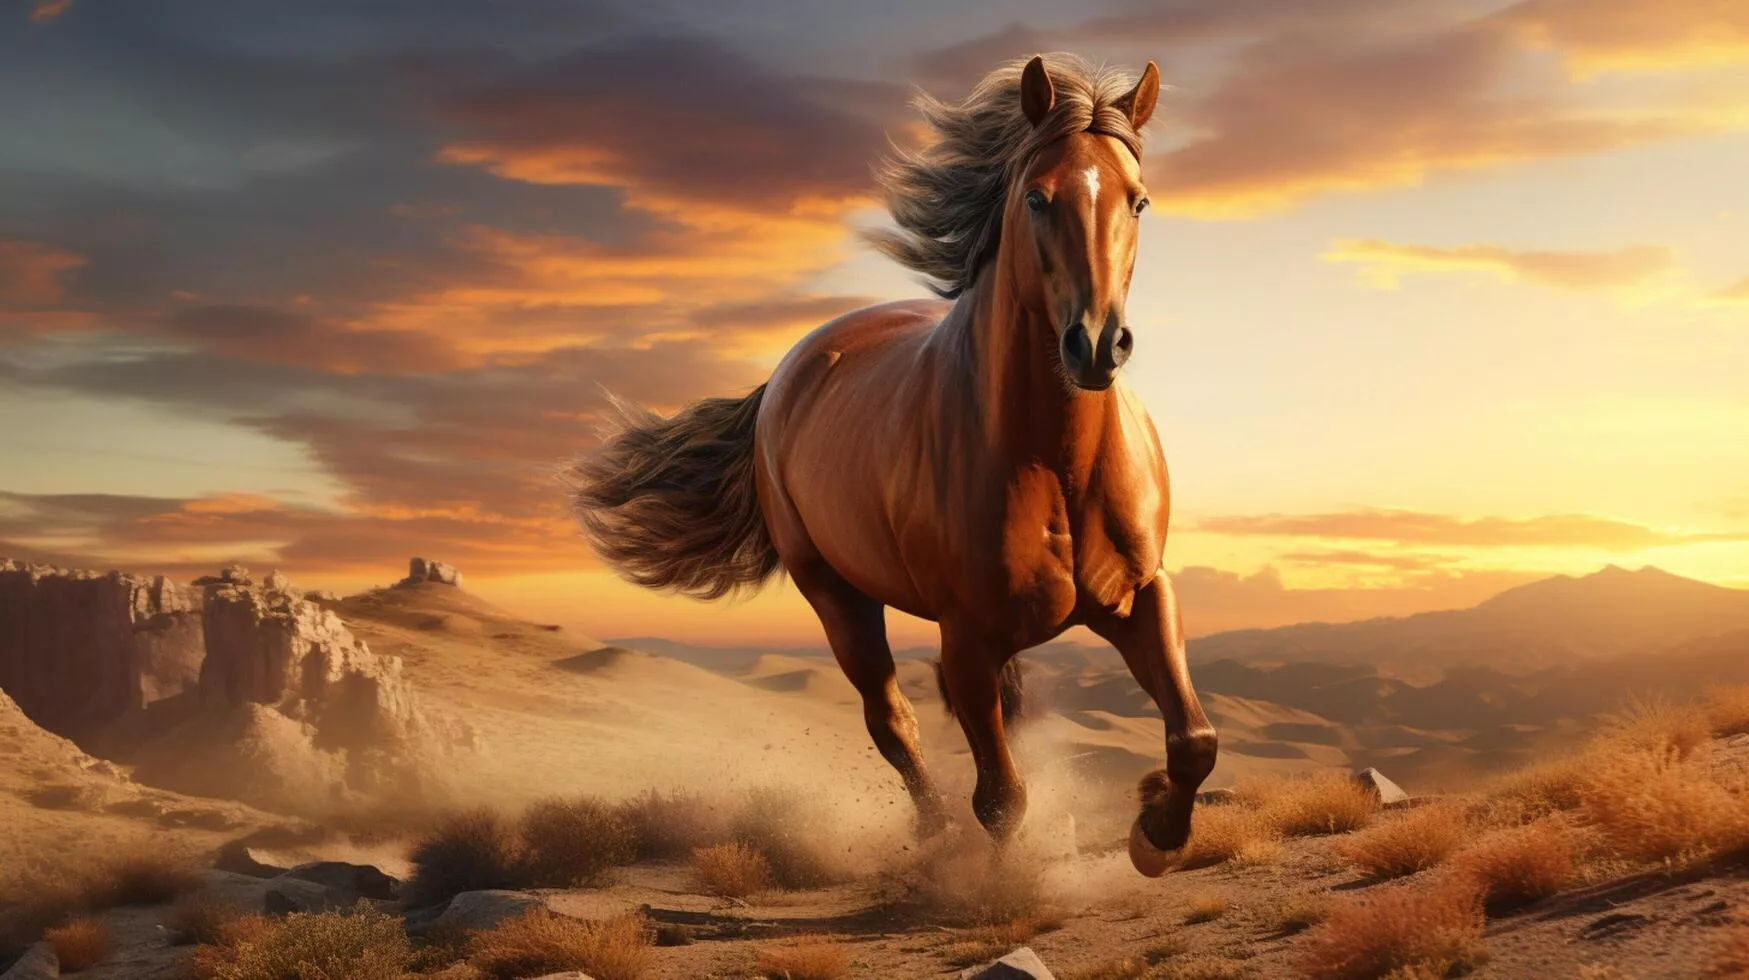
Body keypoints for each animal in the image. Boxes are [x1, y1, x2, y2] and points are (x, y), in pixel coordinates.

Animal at [569, 53, 1217, 877]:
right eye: (1037, 198)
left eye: (1138, 202)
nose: (1097, 345)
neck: (1053, 463)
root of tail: (789, 373)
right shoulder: (965, 637)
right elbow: (1000, 801)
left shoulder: (1141, 596)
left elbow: (1194, 740)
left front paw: (1154, 834)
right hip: (835, 595)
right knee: (891, 719)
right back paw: (932, 831)